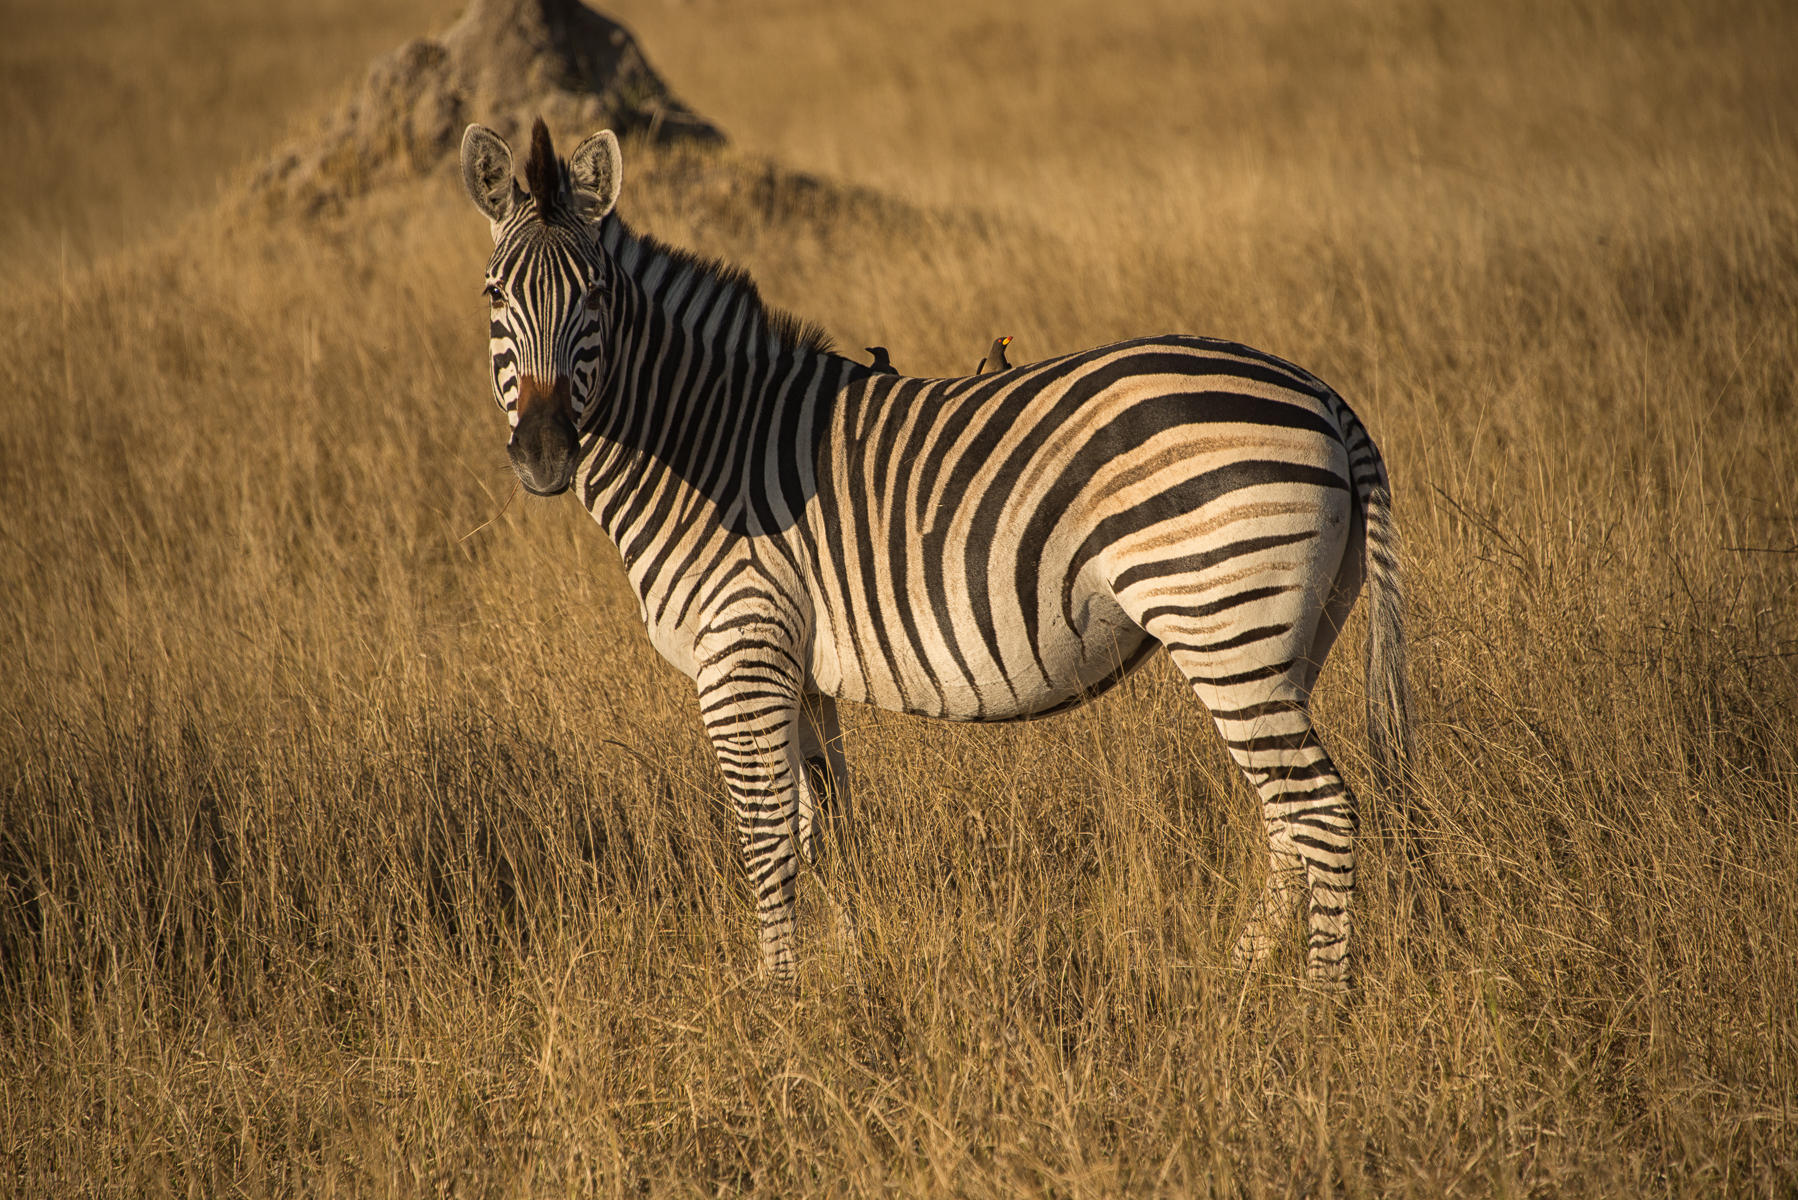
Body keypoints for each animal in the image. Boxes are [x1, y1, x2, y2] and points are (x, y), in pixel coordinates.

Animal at [456, 116, 1409, 993]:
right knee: (1287, 821)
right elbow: (823, 833)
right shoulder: (797, 670)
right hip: (1285, 638)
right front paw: (844, 983)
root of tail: (1322, 393)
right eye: (494, 297)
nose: (543, 454)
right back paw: (1239, 982)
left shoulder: (740, 654)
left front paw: (775, 1003)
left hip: (1223, 619)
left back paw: (1316, 1009)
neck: (706, 440)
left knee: (1322, 814)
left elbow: (766, 842)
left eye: (596, 298)